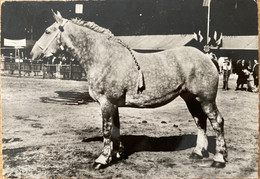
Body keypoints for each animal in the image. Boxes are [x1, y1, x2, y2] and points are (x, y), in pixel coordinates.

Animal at [30, 10, 228, 169]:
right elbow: (116, 129)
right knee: (200, 121)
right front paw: (116, 154)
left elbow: (107, 130)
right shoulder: (114, 104)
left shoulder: (106, 103)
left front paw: (102, 160)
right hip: (190, 98)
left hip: (206, 98)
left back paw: (219, 159)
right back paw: (198, 152)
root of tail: (207, 56)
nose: (32, 54)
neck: (104, 57)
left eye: (47, 31)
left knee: (216, 122)